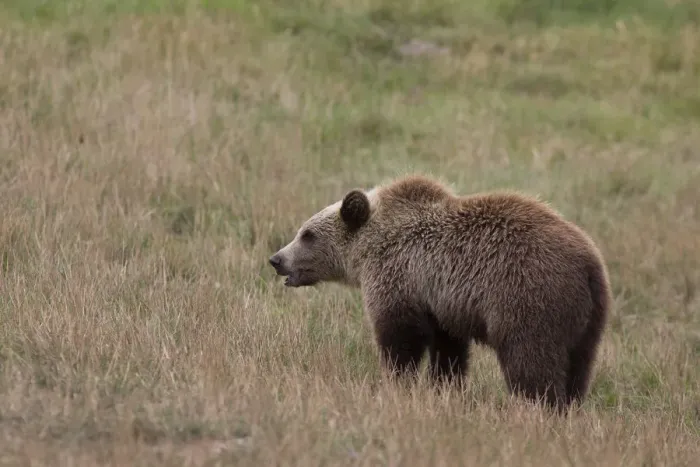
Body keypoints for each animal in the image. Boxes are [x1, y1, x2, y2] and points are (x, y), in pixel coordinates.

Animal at [269, 174, 611, 412]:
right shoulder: (443, 303)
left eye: (307, 234)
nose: (276, 259)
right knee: (578, 367)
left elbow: (400, 339)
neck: (368, 251)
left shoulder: (399, 278)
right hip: (586, 320)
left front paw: (396, 385)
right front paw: (444, 390)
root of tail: (590, 263)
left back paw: (538, 410)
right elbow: (448, 352)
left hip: (528, 299)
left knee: (531, 363)